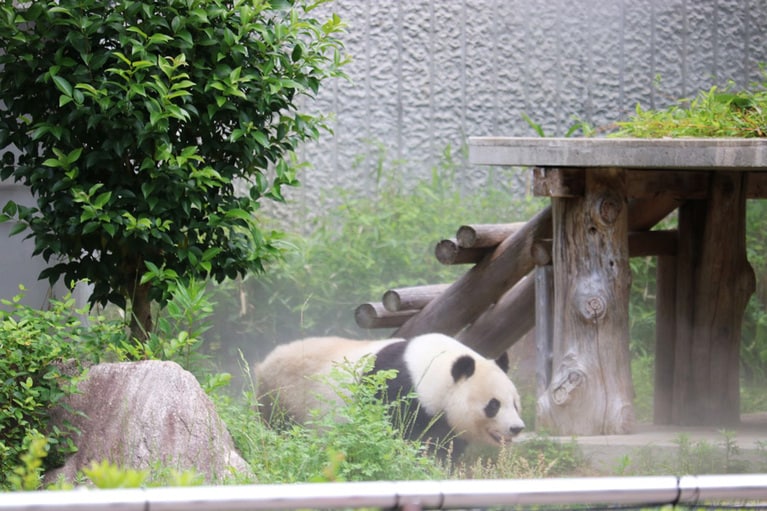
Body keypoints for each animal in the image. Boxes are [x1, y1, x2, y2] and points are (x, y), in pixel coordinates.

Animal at [255, 334, 524, 458]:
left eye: (515, 404)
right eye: (493, 405)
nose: (516, 428)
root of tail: (265, 362)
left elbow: (445, 447)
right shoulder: (397, 393)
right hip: (285, 398)